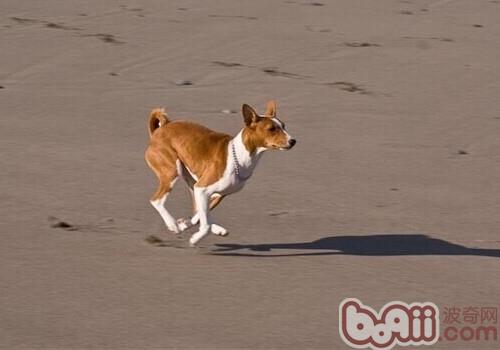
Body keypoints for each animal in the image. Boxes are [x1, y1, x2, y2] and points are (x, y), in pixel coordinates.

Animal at [144, 100, 292, 245]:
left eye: (284, 126)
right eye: (271, 129)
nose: (293, 141)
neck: (239, 157)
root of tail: (161, 129)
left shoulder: (216, 194)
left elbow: (200, 216)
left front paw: (185, 224)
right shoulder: (202, 189)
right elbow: (205, 224)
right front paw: (194, 236)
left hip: (191, 180)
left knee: (196, 209)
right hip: (172, 173)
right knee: (156, 200)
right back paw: (172, 224)